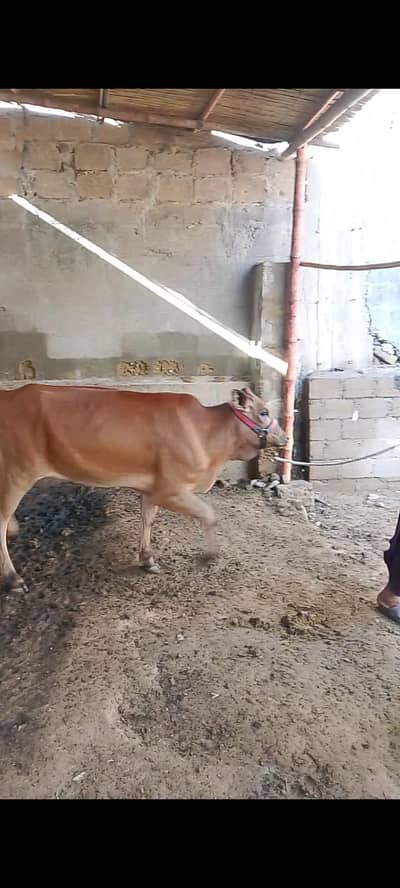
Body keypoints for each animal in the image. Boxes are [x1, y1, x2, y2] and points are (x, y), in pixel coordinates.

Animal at [0, 384, 288, 591]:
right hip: (17, 474)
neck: (208, 438)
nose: (286, 437)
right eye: (264, 412)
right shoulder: (171, 488)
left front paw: (147, 559)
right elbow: (208, 514)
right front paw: (210, 555)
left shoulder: (153, 488)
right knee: (0, 521)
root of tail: (9, 395)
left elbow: (147, 518)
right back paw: (14, 580)